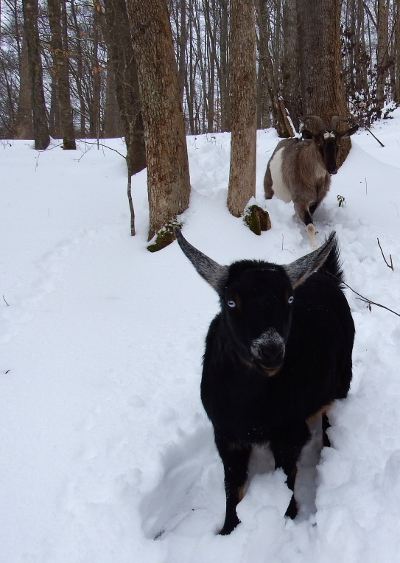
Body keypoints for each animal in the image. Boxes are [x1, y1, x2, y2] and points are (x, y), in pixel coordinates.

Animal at [173, 227, 354, 536]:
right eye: (231, 301)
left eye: (289, 298)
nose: (270, 349)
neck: (251, 410)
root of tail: (326, 276)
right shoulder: (226, 436)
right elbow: (232, 487)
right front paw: (228, 531)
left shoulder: (289, 435)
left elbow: (287, 479)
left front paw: (288, 518)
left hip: (342, 380)